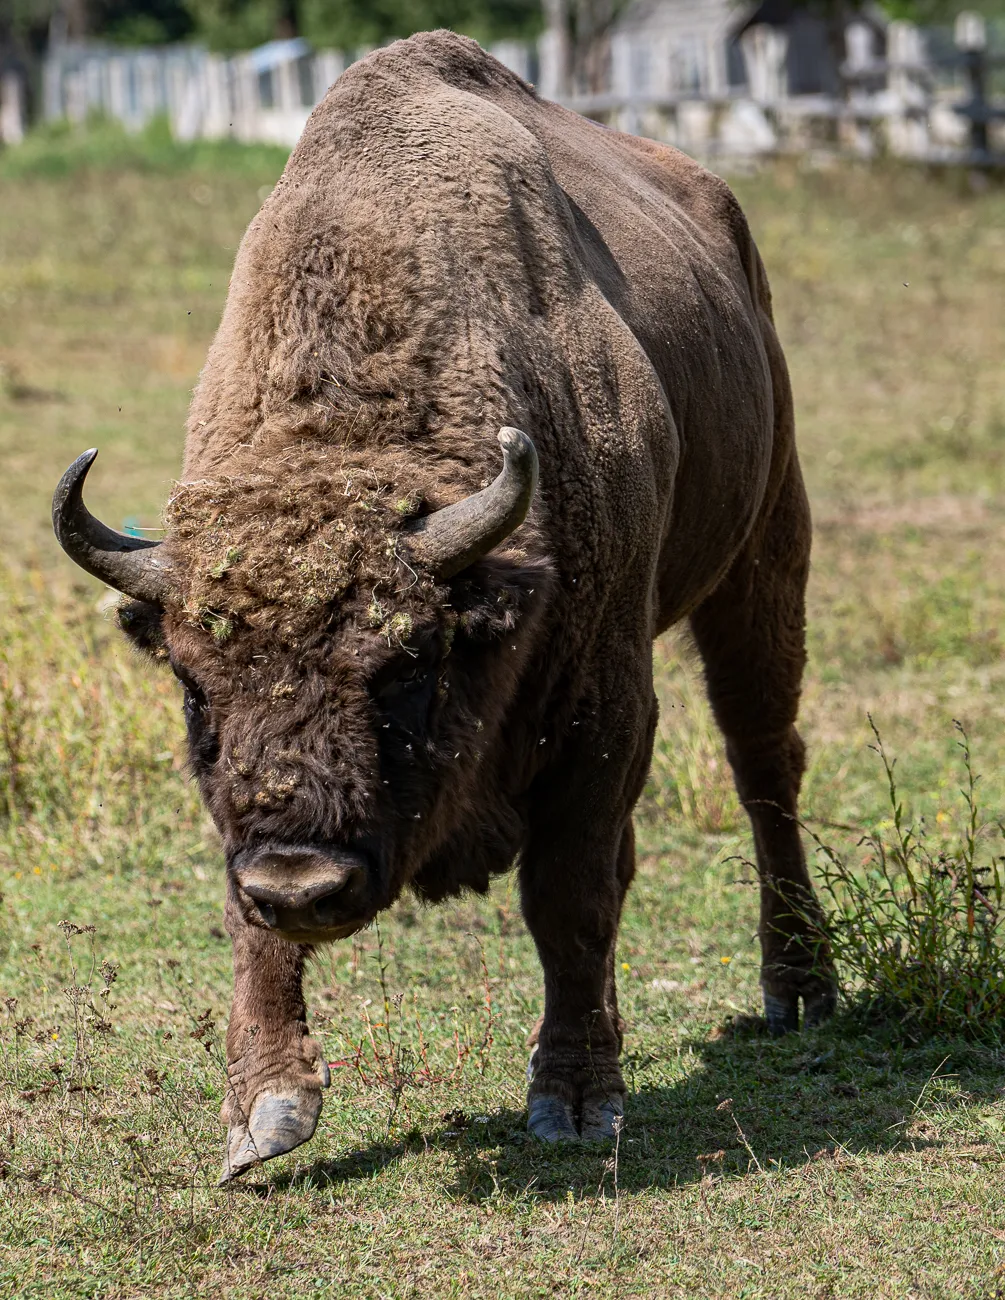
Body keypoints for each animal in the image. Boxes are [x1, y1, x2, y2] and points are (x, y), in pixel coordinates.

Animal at [53, 31, 835, 1179]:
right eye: (195, 686)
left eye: (408, 664)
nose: (301, 881)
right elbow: (247, 921)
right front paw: (263, 1114)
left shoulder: (606, 706)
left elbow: (568, 890)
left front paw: (573, 1099)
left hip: (767, 550)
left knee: (763, 763)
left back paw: (800, 990)